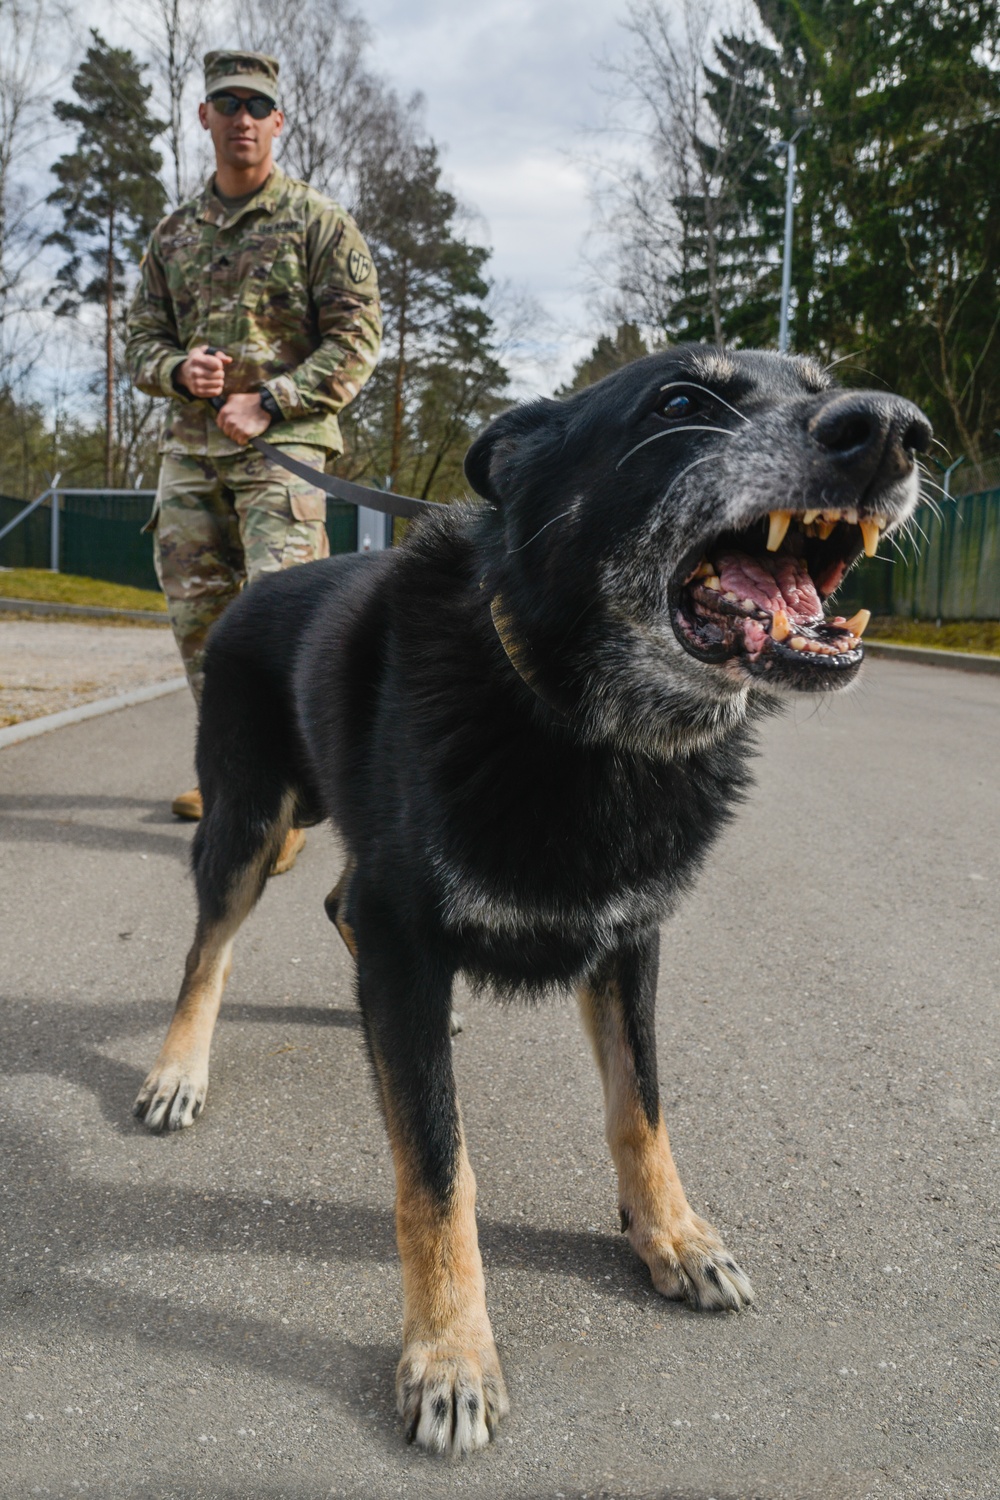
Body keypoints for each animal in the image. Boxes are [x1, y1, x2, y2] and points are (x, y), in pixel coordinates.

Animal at [131, 348, 929, 1452]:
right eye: (680, 402)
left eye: (822, 383)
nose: (895, 428)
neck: (585, 723)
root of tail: (261, 584)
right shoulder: (406, 930)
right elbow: (437, 1168)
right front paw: (450, 1354)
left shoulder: (627, 939)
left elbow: (642, 1106)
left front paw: (672, 1234)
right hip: (249, 822)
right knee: (209, 948)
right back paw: (178, 1070)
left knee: (335, 905)